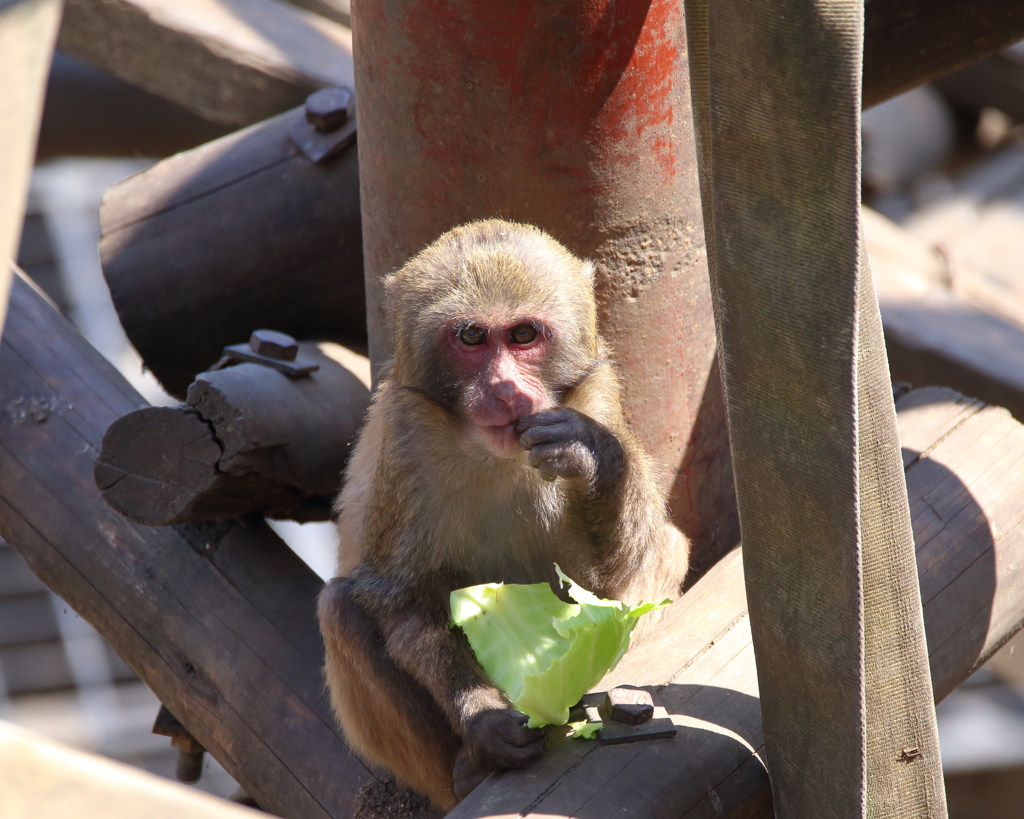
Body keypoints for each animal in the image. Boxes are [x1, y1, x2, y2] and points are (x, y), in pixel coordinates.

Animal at [319, 219, 688, 810]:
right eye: (472, 337)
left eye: (523, 335)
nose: (505, 388)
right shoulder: (406, 438)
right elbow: (399, 599)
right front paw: (484, 717)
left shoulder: (596, 397)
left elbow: (616, 583)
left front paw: (593, 453)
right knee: (342, 609)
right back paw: (468, 772)